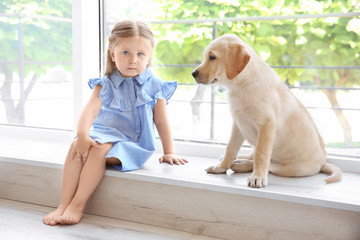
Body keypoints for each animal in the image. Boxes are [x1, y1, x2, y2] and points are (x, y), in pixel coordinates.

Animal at [191, 33, 340, 188]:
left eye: (212, 57)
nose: (193, 73)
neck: (240, 87)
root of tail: (322, 162)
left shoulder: (266, 126)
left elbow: (261, 156)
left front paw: (257, 177)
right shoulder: (238, 124)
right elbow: (231, 148)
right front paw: (221, 167)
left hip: (291, 168)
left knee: (269, 165)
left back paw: (241, 165)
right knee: (252, 155)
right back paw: (237, 160)